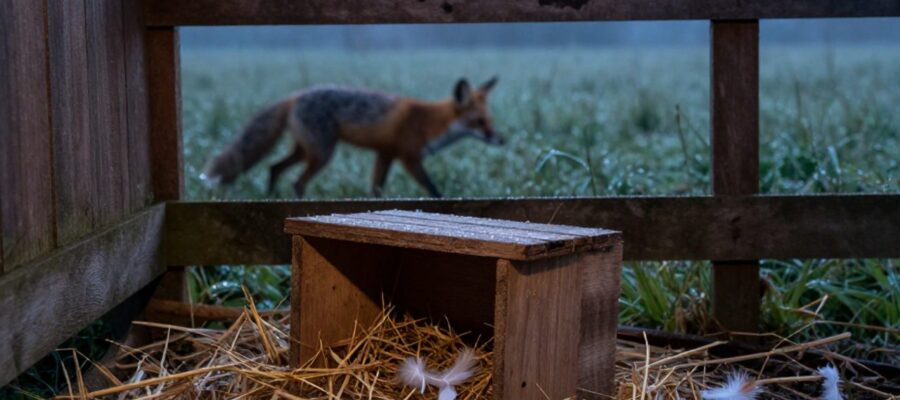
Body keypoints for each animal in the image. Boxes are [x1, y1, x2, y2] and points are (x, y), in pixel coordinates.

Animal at [200, 77, 503, 198]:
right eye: (479, 122)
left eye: (490, 120)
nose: (501, 140)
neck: (430, 122)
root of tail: (295, 95)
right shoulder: (408, 157)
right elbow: (433, 189)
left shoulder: (385, 153)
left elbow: (376, 188)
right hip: (322, 154)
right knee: (297, 182)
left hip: (305, 150)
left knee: (274, 167)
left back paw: (271, 197)